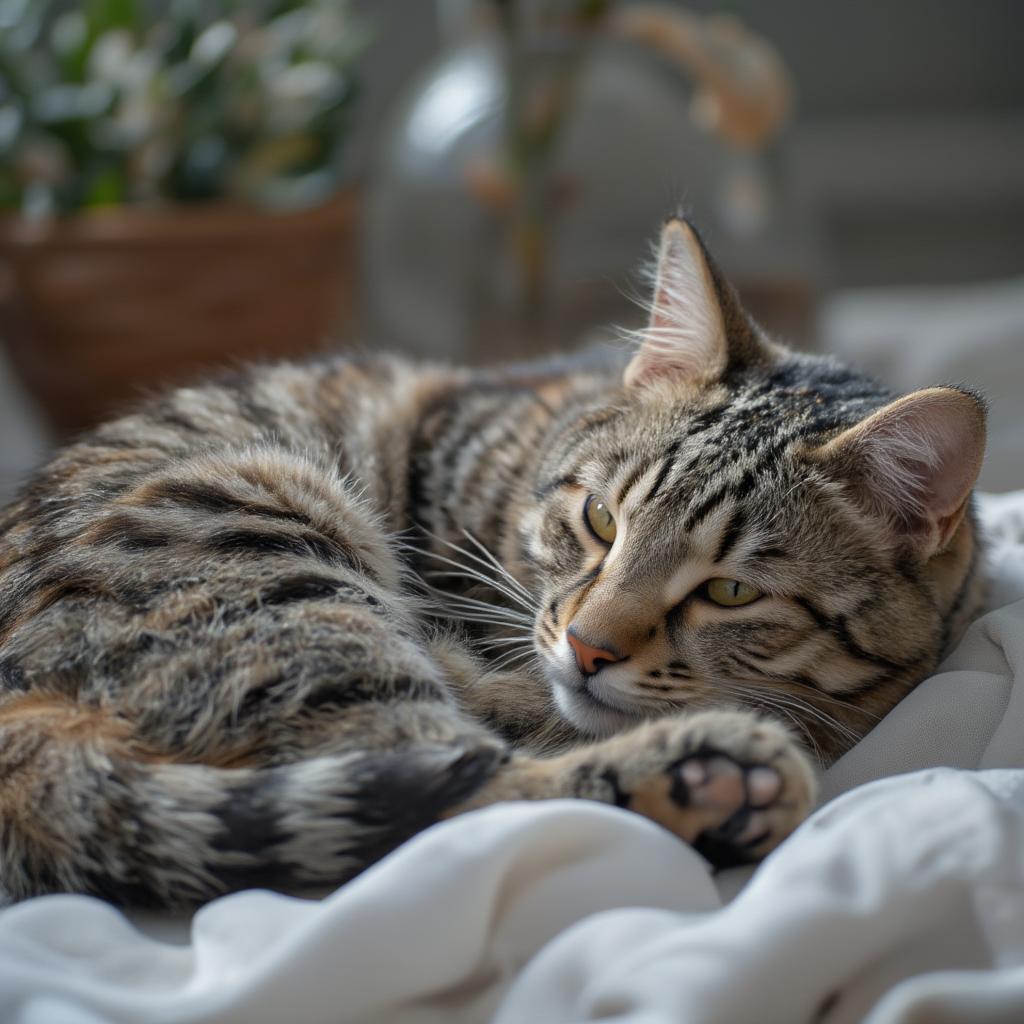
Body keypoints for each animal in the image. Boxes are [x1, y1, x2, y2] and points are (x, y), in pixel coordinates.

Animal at [0, 216, 983, 905]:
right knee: (445, 793)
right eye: (599, 519)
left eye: (732, 590)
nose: (587, 648)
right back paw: (709, 776)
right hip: (272, 539)